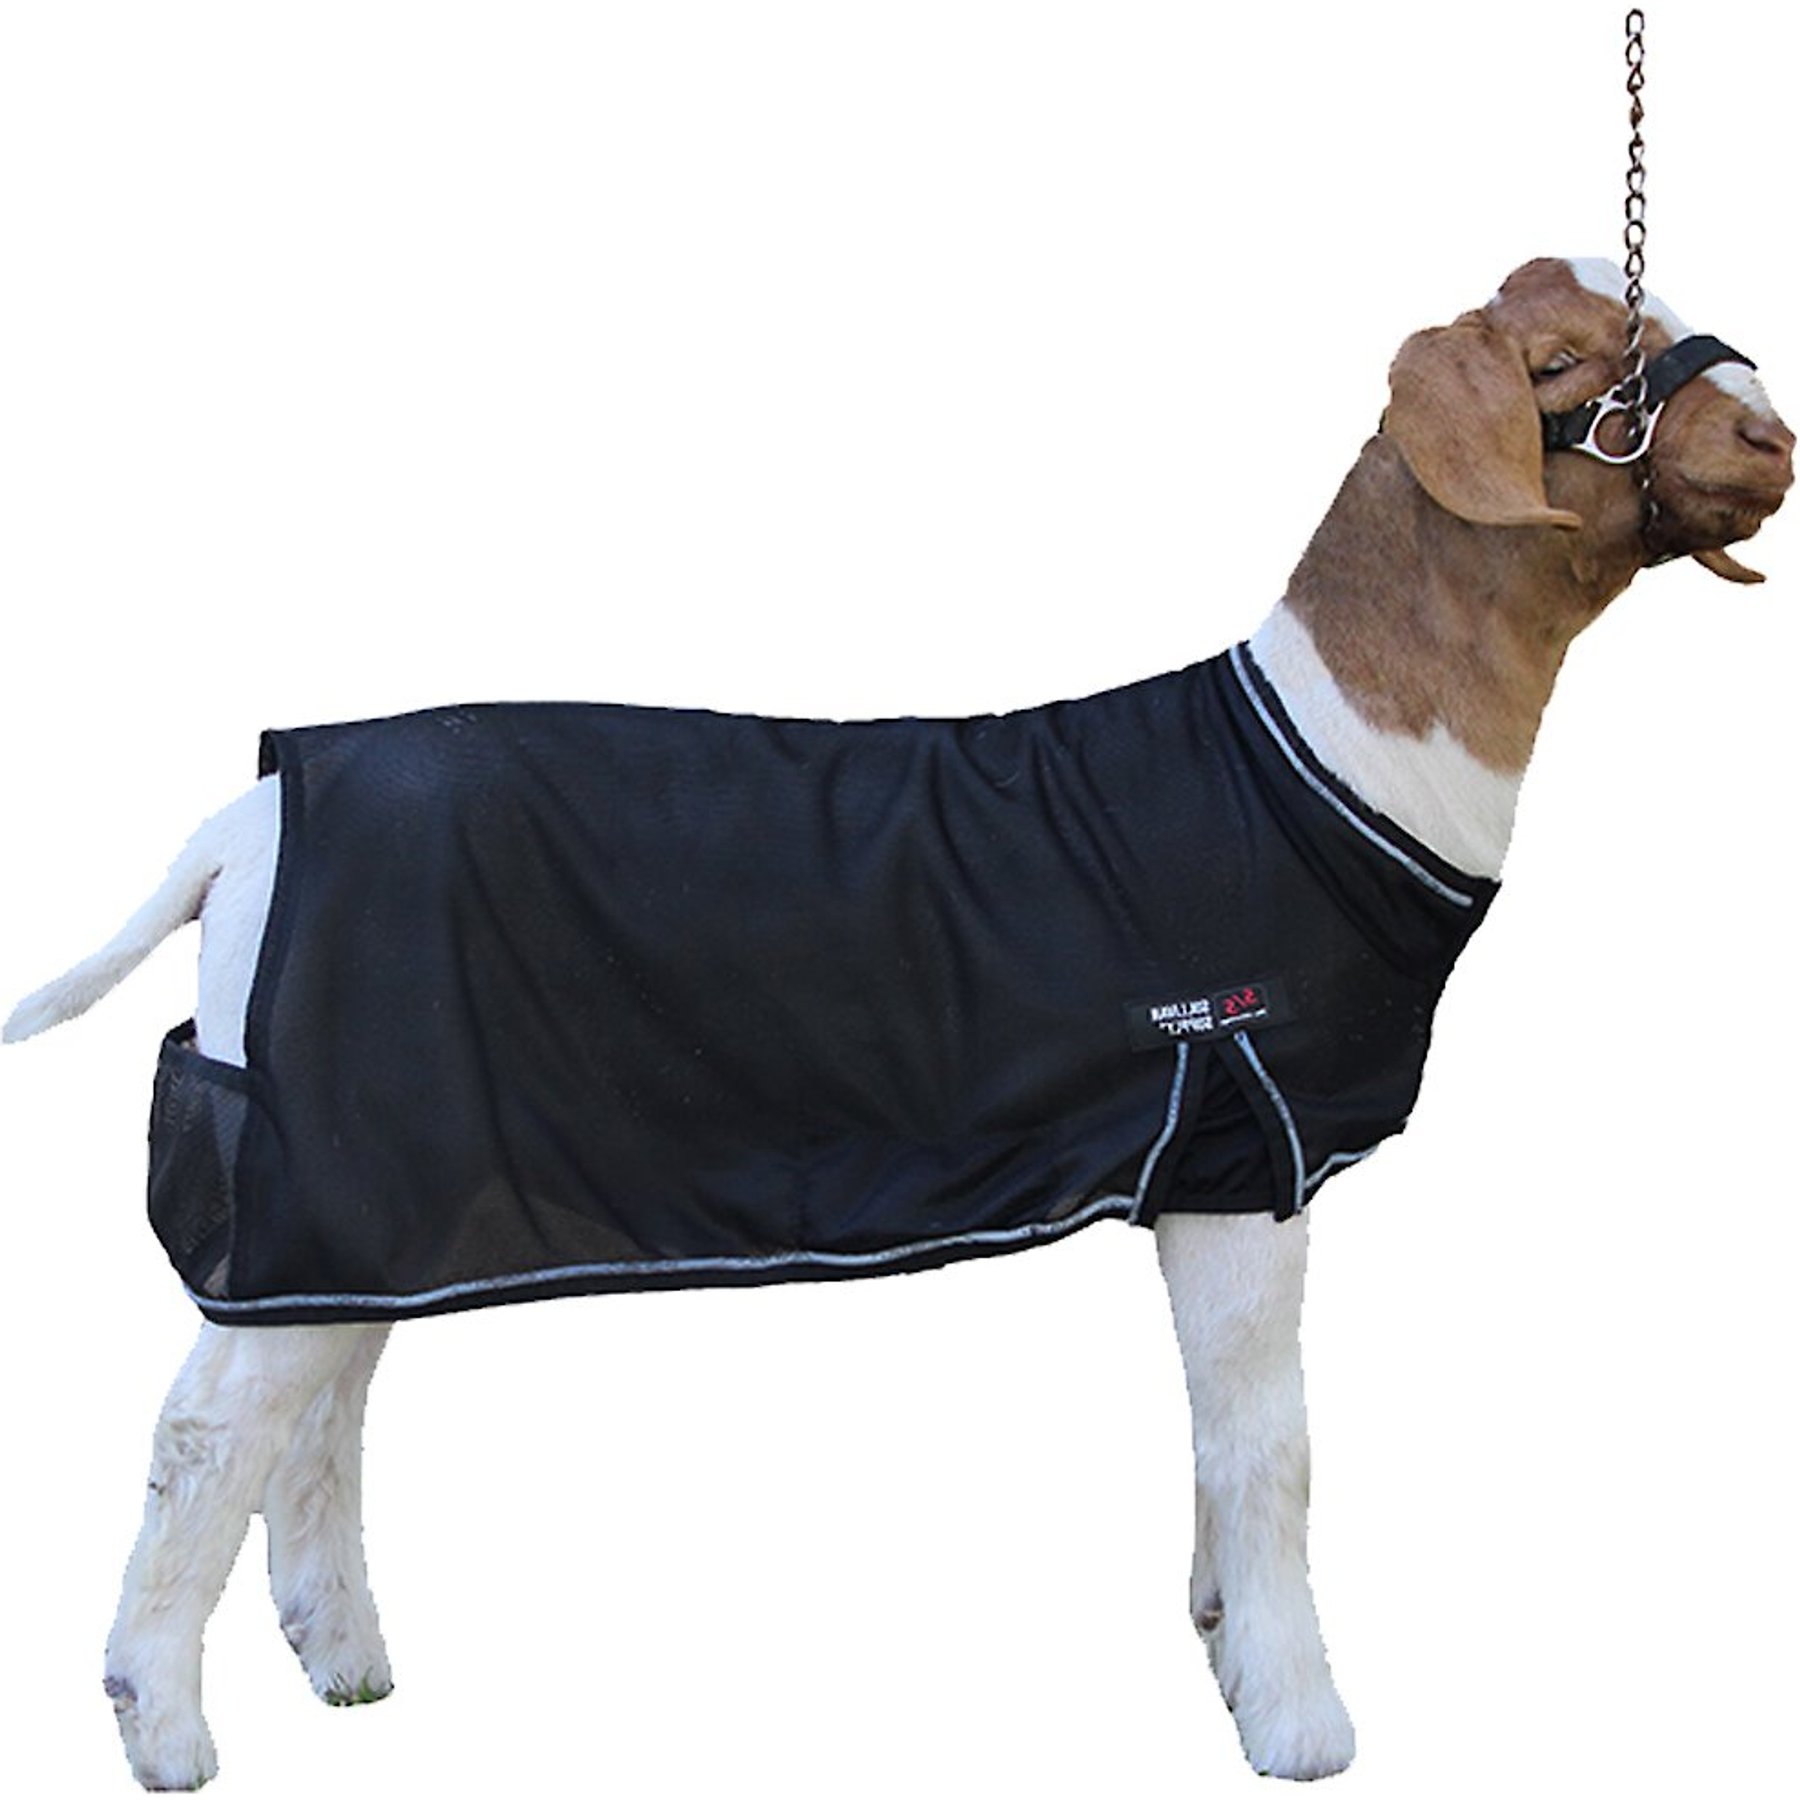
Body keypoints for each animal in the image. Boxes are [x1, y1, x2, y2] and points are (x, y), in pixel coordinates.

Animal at [4, 256, 1791, 1790]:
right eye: (1560, 367)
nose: (1772, 432)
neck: (1331, 759)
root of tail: (243, 823)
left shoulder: (1203, 1161)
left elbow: (1218, 1434)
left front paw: (1221, 1636)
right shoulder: (1240, 1133)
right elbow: (1271, 1443)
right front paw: (1298, 1723)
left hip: (375, 1164)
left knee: (323, 1401)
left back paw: (346, 1660)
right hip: (325, 1141)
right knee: (207, 1430)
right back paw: (163, 1726)